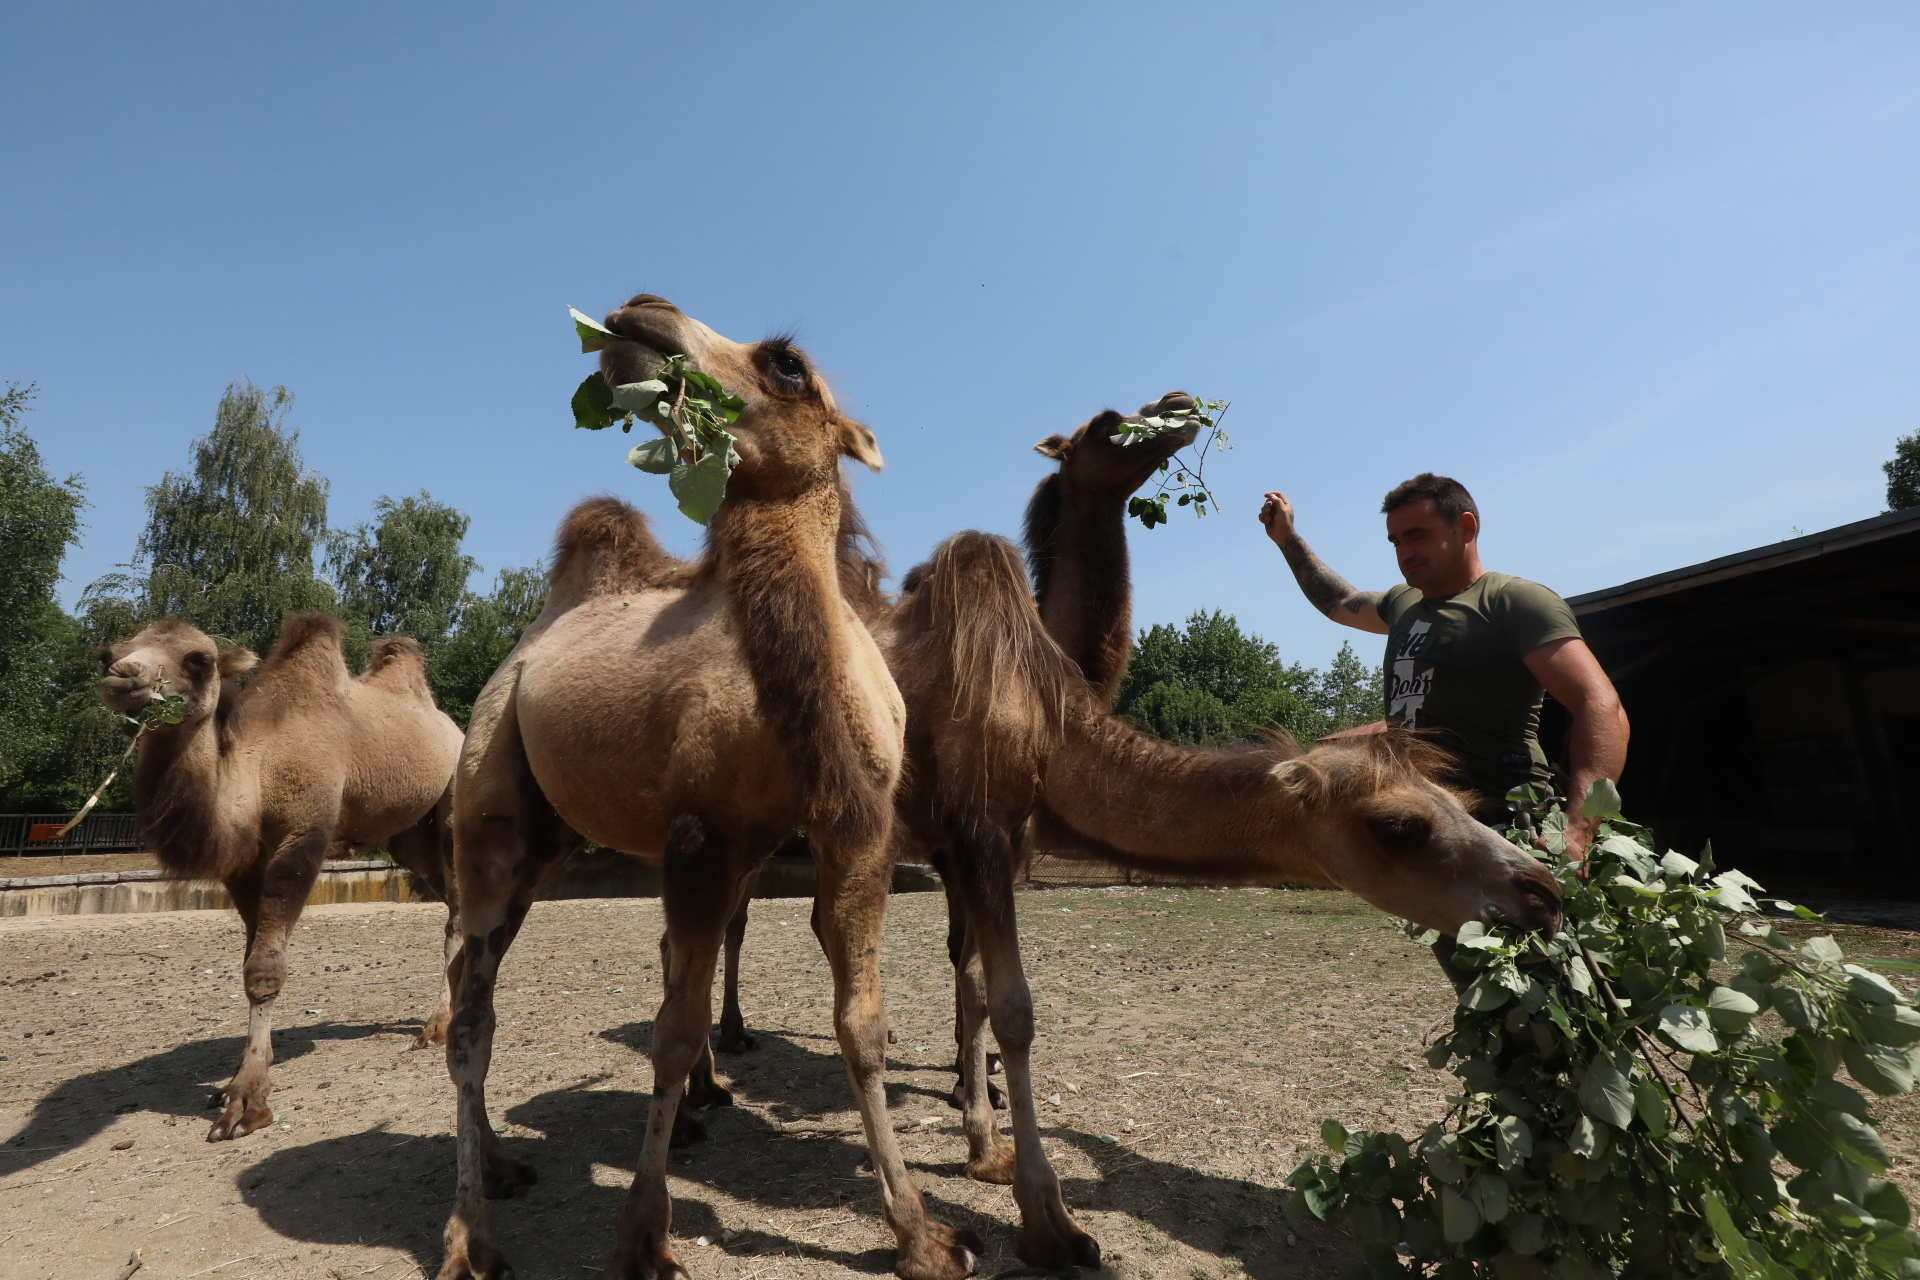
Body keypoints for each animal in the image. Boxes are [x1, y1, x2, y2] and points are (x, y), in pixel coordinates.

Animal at [94, 617, 460, 1143]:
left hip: (452, 803)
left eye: (199, 659)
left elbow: (264, 972)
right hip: (407, 835)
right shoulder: (245, 865)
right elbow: (249, 962)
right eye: (107, 653)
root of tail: (452, 727)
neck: (259, 769)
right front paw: (231, 1085)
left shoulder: (302, 834)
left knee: (460, 909)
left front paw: (247, 1104)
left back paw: (438, 1027)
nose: (121, 677)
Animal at [435, 293, 975, 1280]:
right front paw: (645, 1233)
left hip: (558, 840)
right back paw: (469, 1235)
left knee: (476, 991)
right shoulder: (700, 835)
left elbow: (862, 1024)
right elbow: (672, 1027)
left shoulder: (858, 831)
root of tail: (526, 650)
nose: (639, 315)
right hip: (492, 802)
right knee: (471, 1012)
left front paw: (921, 1233)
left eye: (788, 365)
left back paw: (504, 1164)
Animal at [879, 533, 1566, 1274]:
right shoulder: (974, 833)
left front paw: (984, 1145)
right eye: (1400, 826)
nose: (1544, 892)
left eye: (1463, 800)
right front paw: (1049, 1226)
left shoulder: (993, 843)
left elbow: (978, 984)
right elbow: (1013, 1008)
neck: (1041, 727)